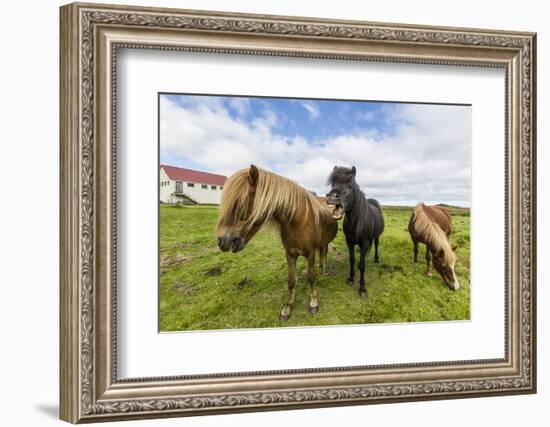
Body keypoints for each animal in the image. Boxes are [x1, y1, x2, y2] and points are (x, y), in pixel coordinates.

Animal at [217, 166, 338, 320]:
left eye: (238, 203)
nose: (221, 241)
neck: (298, 221)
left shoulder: (310, 253)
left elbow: (311, 277)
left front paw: (313, 302)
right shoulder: (290, 254)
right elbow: (291, 281)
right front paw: (287, 308)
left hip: (326, 243)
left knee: (325, 253)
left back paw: (324, 269)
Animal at [326, 167, 386, 298]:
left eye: (350, 184)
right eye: (333, 184)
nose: (331, 197)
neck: (357, 220)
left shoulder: (364, 243)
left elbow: (362, 265)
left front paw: (362, 288)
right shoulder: (349, 241)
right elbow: (352, 260)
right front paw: (351, 279)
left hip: (377, 236)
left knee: (376, 245)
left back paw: (376, 259)